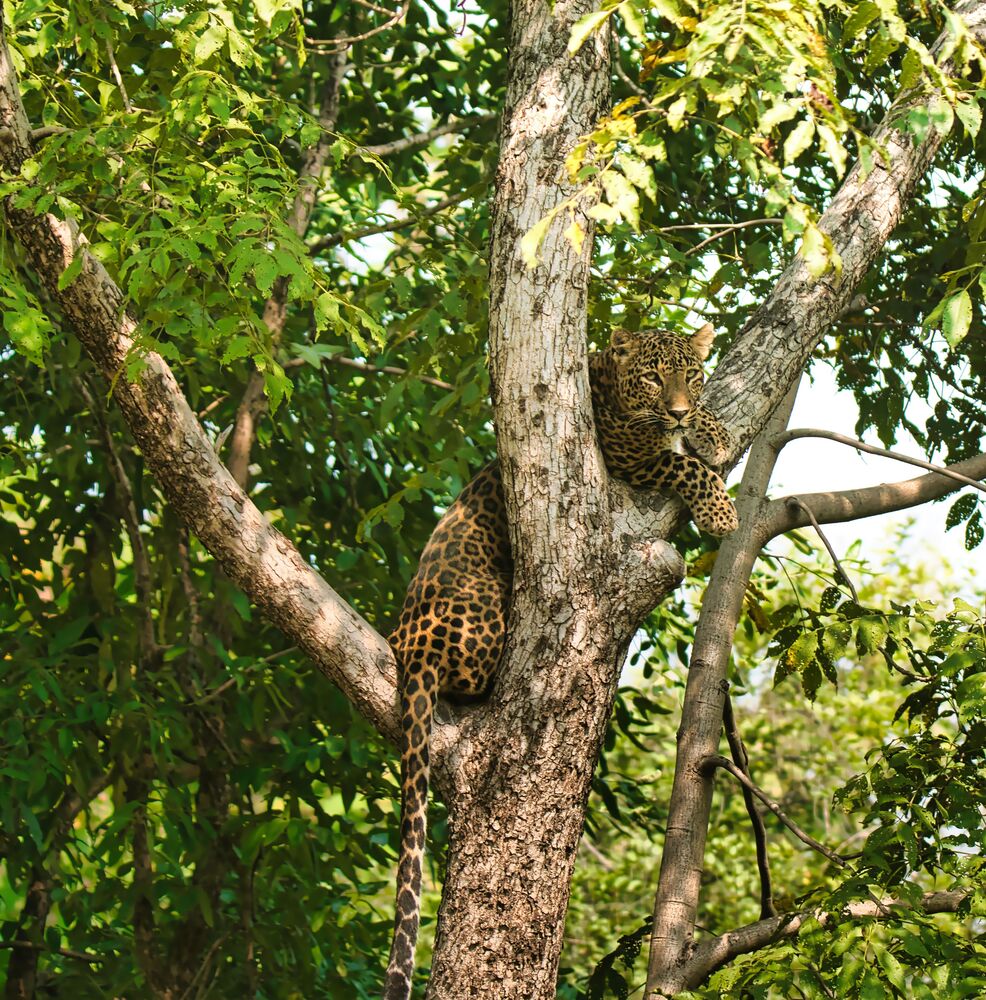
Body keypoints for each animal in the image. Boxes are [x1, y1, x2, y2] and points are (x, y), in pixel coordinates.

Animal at [382, 324, 736, 1000]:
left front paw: (715, 429)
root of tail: (408, 647)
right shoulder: (629, 455)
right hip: (489, 612)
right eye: (653, 378)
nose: (680, 409)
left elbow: (694, 437)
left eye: (691, 374)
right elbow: (680, 462)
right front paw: (721, 508)